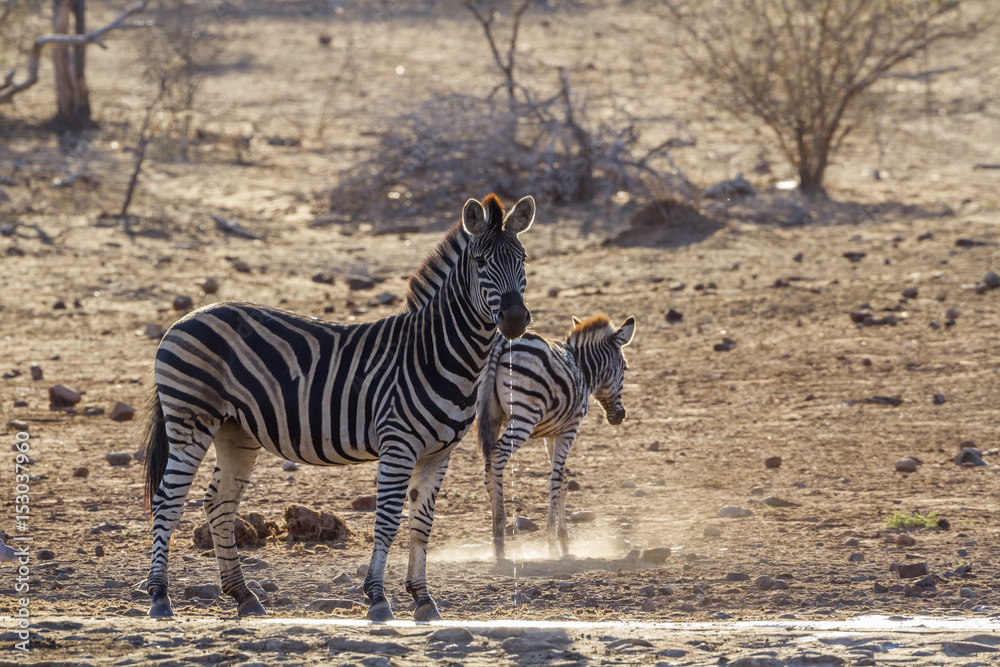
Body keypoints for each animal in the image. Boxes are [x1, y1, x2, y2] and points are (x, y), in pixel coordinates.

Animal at [139, 193, 535, 621]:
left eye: (523, 259)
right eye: (480, 261)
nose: (515, 319)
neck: (437, 352)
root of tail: (184, 319)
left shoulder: (439, 453)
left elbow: (421, 524)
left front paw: (423, 600)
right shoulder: (398, 444)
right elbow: (388, 521)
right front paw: (378, 598)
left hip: (236, 432)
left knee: (220, 504)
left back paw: (244, 596)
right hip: (190, 421)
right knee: (167, 501)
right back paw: (160, 597)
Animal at [477, 313, 635, 561]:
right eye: (625, 369)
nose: (620, 416)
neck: (583, 369)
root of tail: (500, 344)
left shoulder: (551, 433)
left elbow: (563, 479)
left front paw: (564, 540)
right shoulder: (570, 427)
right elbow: (556, 479)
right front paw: (552, 540)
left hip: (490, 413)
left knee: (487, 464)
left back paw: (494, 537)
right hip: (525, 415)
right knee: (498, 455)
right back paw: (500, 532)